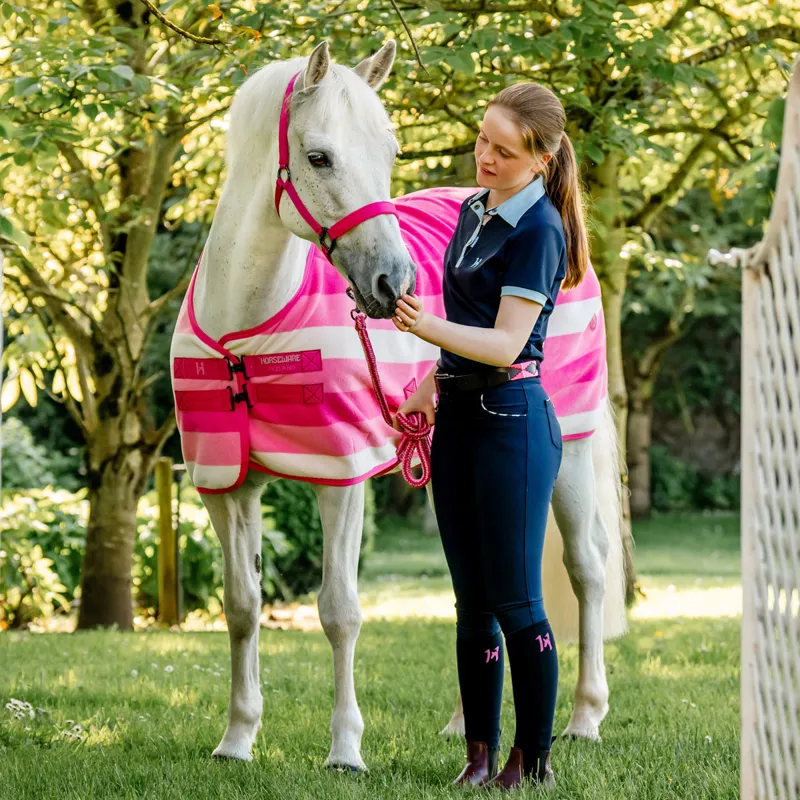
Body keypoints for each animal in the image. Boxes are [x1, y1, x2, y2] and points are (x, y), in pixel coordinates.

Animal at [170, 40, 627, 771]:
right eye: (319, 156)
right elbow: (241, 606)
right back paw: (463, 723)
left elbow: (339, 611)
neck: (248, 329)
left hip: (574, 453)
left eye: (388, 151)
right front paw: (237, 738)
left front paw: (344, 749)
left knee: (586, 566)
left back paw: (585, 717)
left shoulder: (340, 478)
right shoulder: (225, 485)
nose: (394, 283)